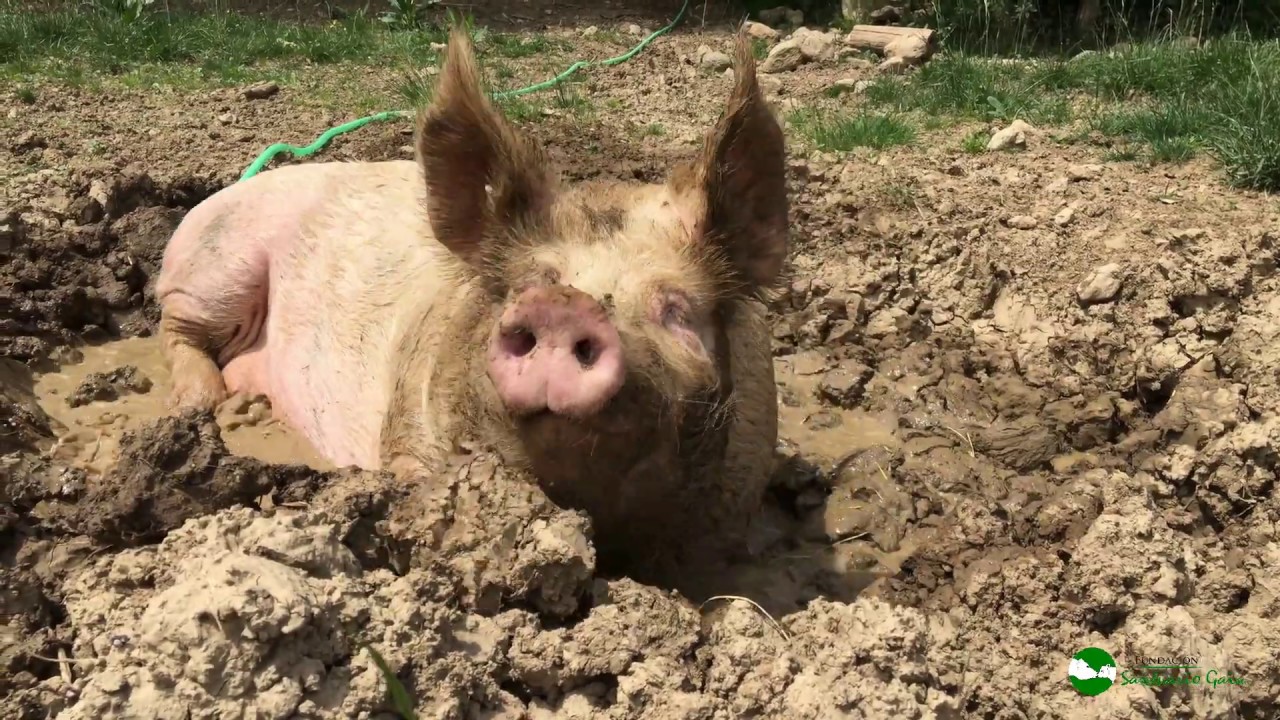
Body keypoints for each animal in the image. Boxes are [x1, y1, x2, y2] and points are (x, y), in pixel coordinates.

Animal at [155, 28, 787, 566]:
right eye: (525, 284)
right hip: (218, 264)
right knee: (175, 327)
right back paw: (209, 406)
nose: (565, 305)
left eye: (677, 310)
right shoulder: (406, 438)